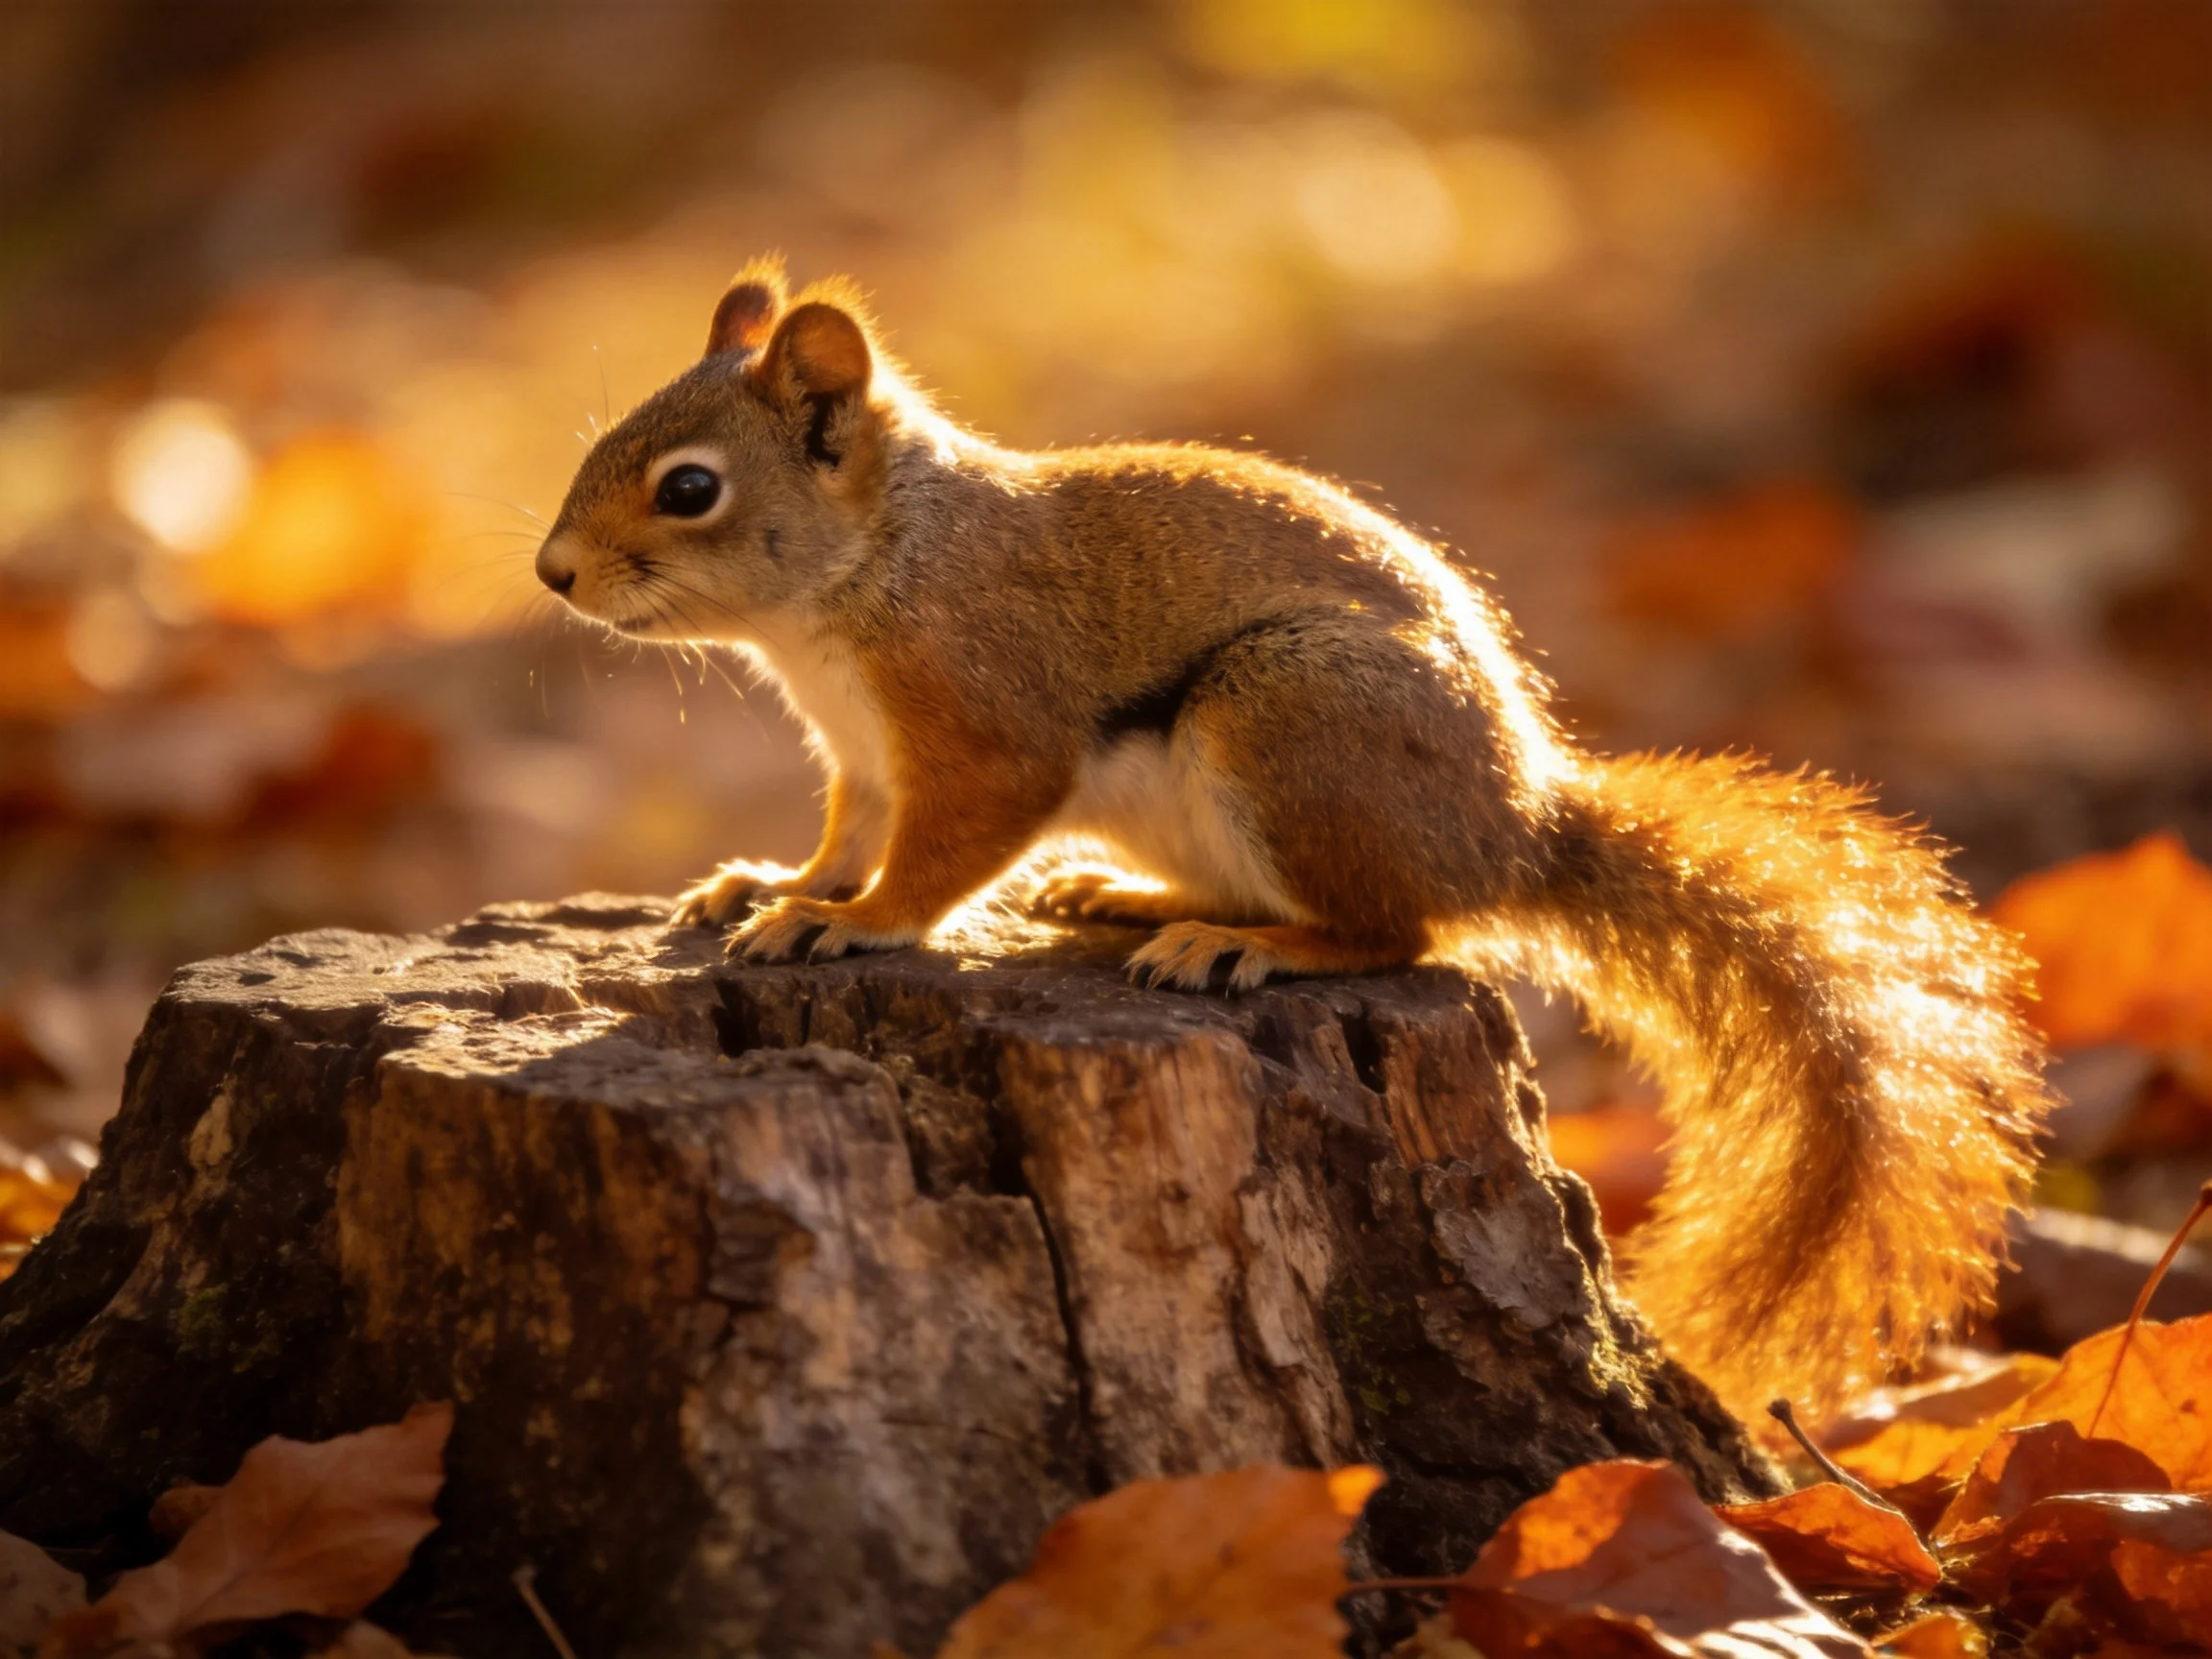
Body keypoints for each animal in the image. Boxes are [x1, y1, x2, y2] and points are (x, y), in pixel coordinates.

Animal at [535, 256, 2049, 1419]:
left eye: (687, 489)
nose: (552, 574)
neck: (870, 568)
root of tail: (1513, 828)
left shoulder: (983, 722)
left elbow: (940, 856)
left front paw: (850, 925)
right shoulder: (860, 758)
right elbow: (848, 833)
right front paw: (771, 886)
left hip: (1286, 722)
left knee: (1401, 933)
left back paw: (1242, 947)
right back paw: (1137, 903)